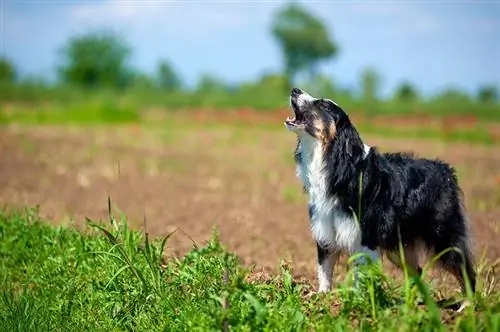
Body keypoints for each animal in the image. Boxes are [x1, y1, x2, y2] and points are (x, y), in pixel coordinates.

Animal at [286, 87, 476, 310]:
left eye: (323, 104)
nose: (295, 90)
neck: (334, 161)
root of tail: (445, 170)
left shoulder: (366, 236)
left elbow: (361, 274)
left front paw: (359, 302)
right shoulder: (326, 232)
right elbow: (324, 270)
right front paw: (321, 298)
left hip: (442, 237)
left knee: (465, 270)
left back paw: (467, 306)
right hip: (399, 245)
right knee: (418, 271)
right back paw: (407, 303)